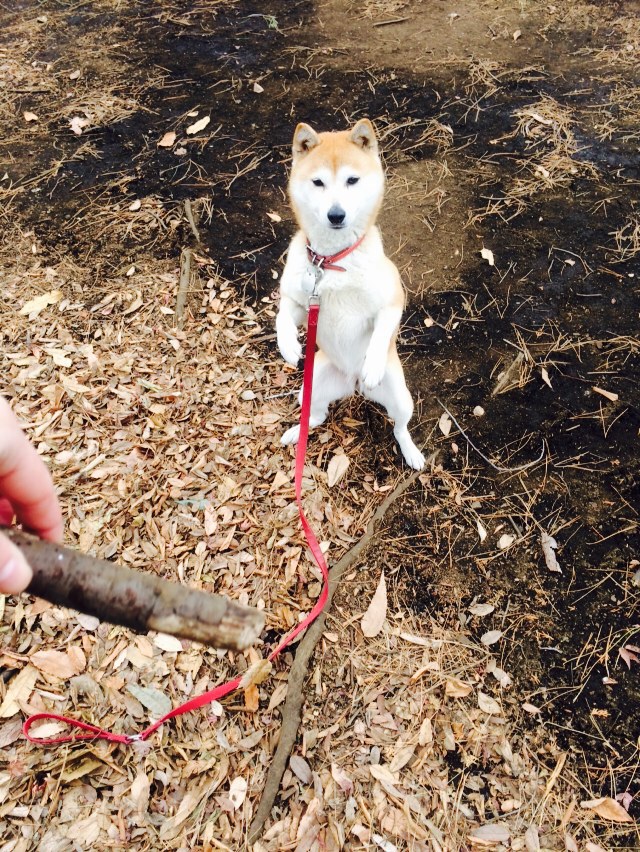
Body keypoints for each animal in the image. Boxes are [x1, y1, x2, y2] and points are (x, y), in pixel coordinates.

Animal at [276, 117, 424, 470]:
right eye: (318, 182)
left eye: (352, 180)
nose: (336, 214)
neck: (330, 263)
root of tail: (351, 382)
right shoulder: (300, 301)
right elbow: (282, 316)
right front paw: (287, 345)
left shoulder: (392, 300)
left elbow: (381, 331)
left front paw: (372, 364)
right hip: (310, 388)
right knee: (314, 416)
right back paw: (296, 432)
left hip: (402, 398)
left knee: (400, 428)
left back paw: (411, 451)